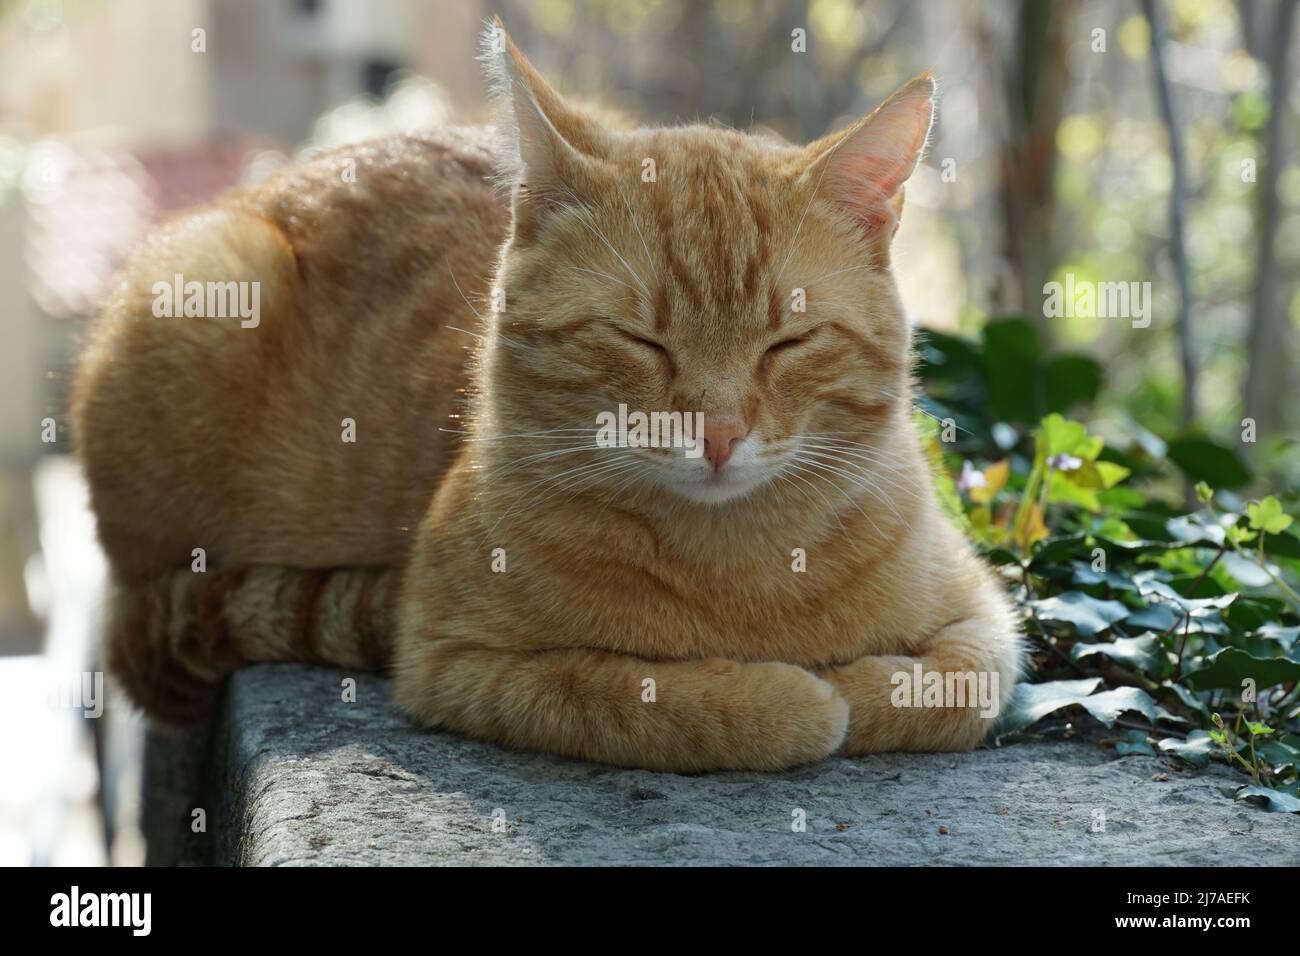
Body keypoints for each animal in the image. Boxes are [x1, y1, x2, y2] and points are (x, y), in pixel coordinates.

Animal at [73, 24, 1024, 770]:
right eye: (640, 339)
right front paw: (793, 699)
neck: (740, 566)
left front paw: (861, 685)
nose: (717, 432)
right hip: (206, 286)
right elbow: (656, 700)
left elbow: (953, 687)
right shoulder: (455, 663)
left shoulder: (987, 617)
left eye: (788, 342)